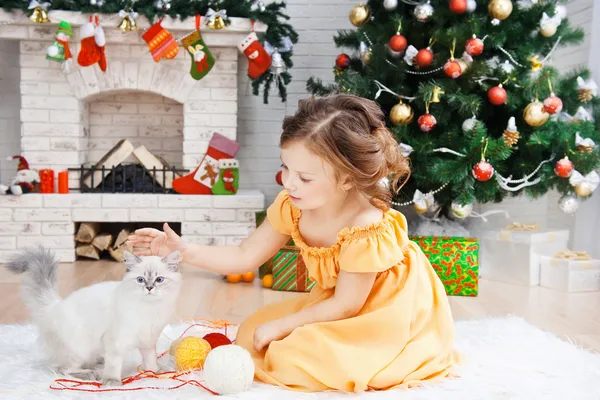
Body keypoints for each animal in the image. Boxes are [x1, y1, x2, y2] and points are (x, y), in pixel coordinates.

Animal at [5, 245, 182, 386]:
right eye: (140, 280)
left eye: (159, 279)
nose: (150, 288)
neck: (149, 310)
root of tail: (55, 306)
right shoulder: (115, 341)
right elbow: (114, 365)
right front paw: (111, 382)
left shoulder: (148, 339)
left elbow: (151, 360)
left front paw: (155, 372)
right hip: (80, 349)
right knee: (62, 369)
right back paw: (92, 374)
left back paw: (98, 363)